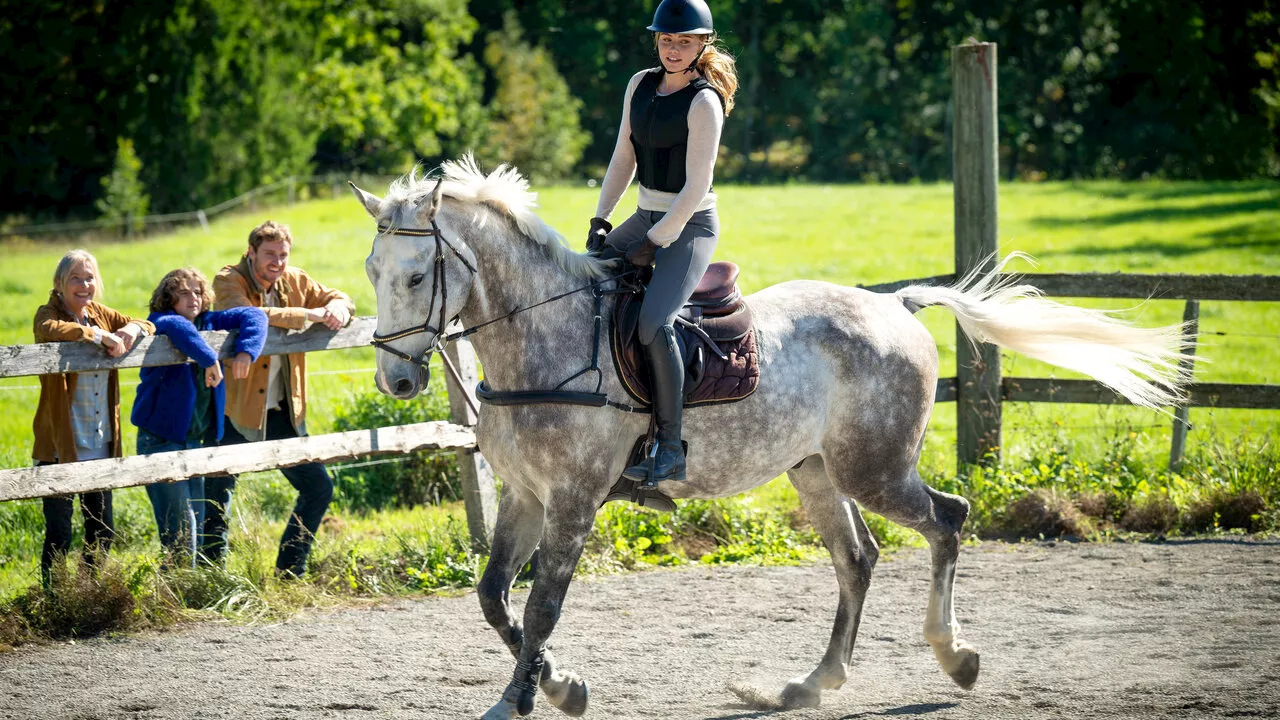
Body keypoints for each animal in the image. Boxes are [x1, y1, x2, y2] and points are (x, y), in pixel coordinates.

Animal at [350, 158, 1187, 717]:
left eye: (418, 276)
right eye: (371, 268)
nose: (396, 383)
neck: (545, 337)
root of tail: (898, 308)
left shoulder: (575, 502)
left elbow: (542, 607)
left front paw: (537, 695)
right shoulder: (526, 496)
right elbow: (495, 597)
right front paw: (548, 686)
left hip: (873, 470)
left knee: (947, 521)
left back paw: (957, 658)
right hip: (815, 471)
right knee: (858, 559)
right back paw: (810, 683)